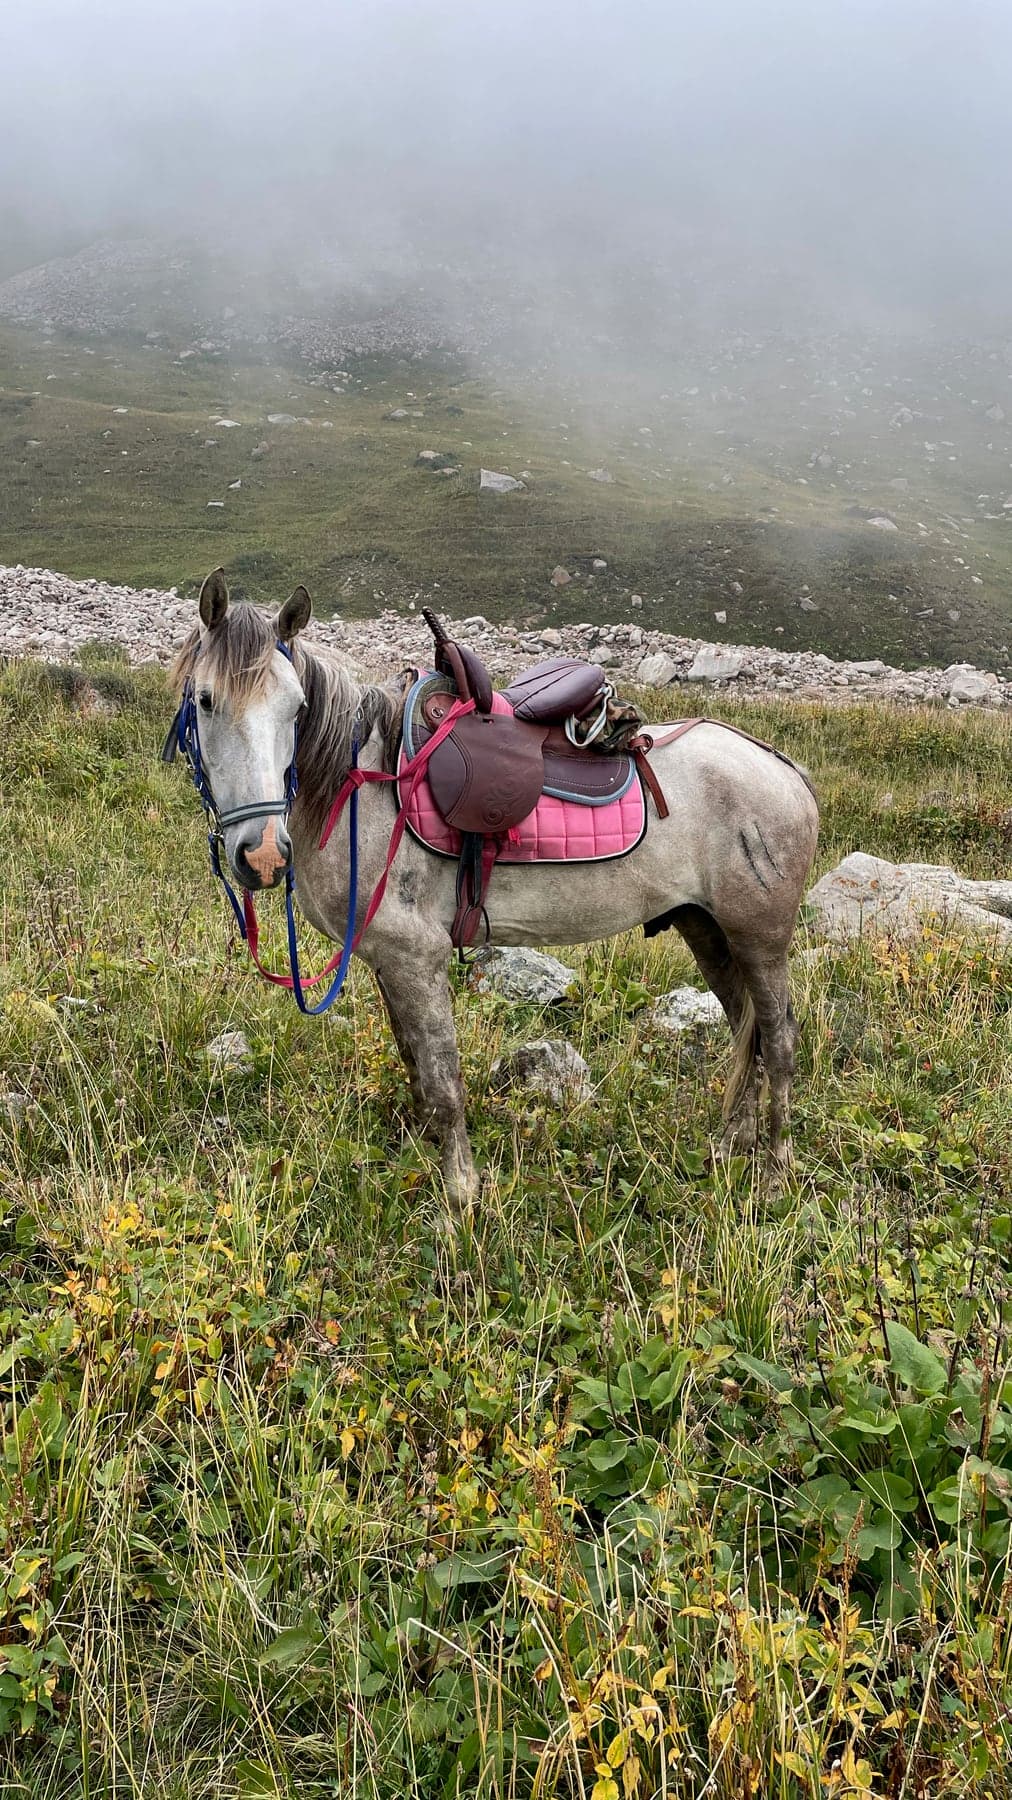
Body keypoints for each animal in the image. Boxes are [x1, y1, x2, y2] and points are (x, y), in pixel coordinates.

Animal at [169, 570, 820, 1212]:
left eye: (297, 707)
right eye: (205, 700)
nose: (263, 855)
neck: (360, 787)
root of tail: (786, 770)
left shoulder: (417, 956)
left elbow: (443, 1083)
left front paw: (461, 1199)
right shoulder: (387, 959)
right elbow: (414, 1064)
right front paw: (422, 1157)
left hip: (760, 938)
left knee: (779, 1038)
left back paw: (776, 1173)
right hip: (705, 927)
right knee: (745, 1029)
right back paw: (728, 1147)